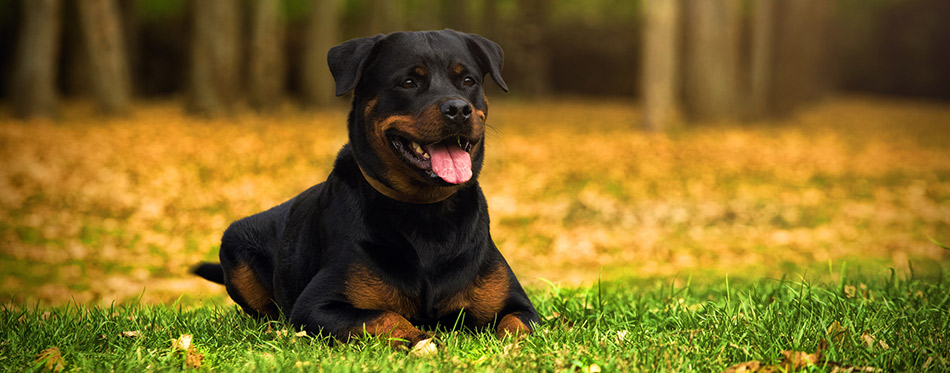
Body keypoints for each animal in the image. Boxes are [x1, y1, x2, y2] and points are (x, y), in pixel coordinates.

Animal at [194, 29, 540, 346]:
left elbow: (517, 327)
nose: (458, 109)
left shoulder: (520, 306)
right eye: (408, 83)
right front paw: (422, 340)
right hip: (236, 247)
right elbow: (386, 316)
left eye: (468, 80)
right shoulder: (317, 306)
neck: (426, 213)